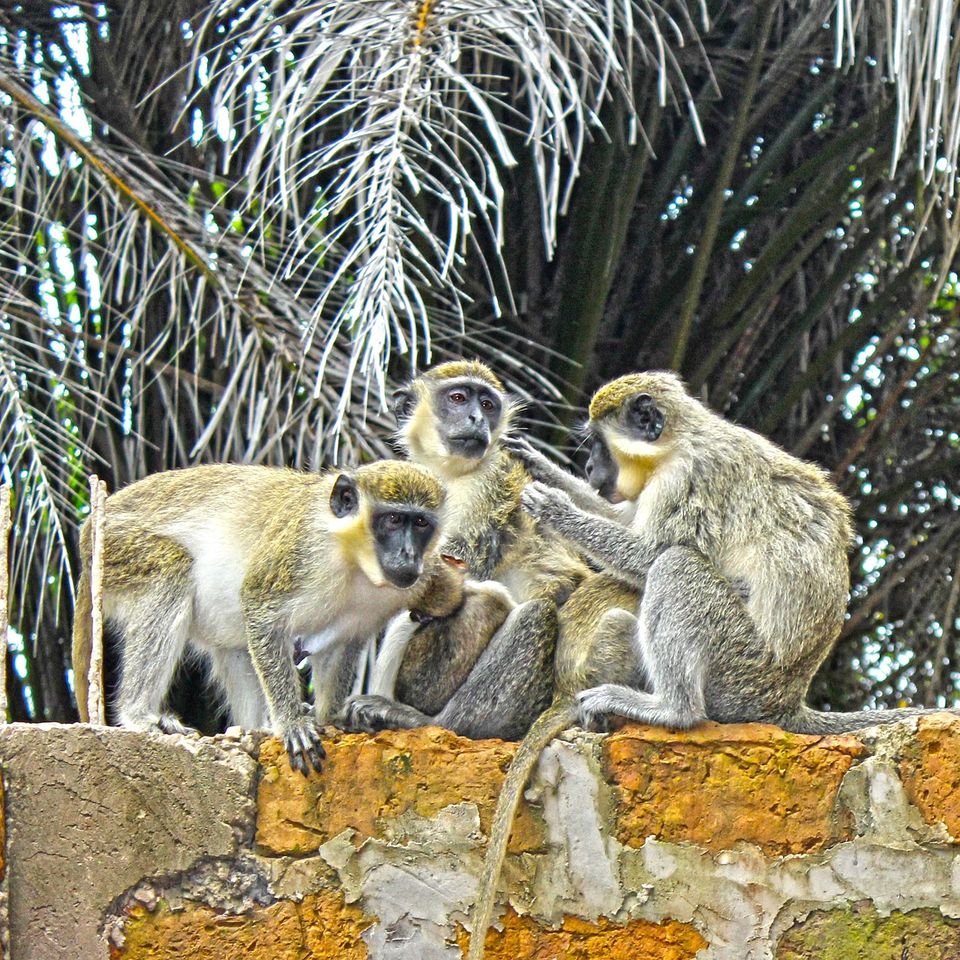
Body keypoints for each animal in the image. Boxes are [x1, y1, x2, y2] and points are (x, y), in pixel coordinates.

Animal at [72, 461, 455, 775]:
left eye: (421, 523)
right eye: (394, 520)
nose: (408, 554)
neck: (353, 560)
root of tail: (91, 527)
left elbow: (341, 646)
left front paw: (330, 718)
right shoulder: (301, 550)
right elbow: (260, 607)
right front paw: (291, 723)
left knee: (236, 650)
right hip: (115, 549)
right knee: (170, 569)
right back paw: (137, 715)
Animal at [342, 360, 589, 740]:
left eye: (487, 405)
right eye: (458, 398)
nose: (476, 418)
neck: (453, 474)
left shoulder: (486, 488)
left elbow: (450, 578)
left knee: (533, 612)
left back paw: (429, 721)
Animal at [467, 370, 957, 959]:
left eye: (598, 445)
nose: (589, 470)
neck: (681, 439)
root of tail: (786, 698)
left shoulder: (688, 480)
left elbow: (648, 552)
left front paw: (558, 508)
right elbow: (624, 518)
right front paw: (540, 465)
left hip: (739, 666)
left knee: (675, 566)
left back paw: (669, 708)